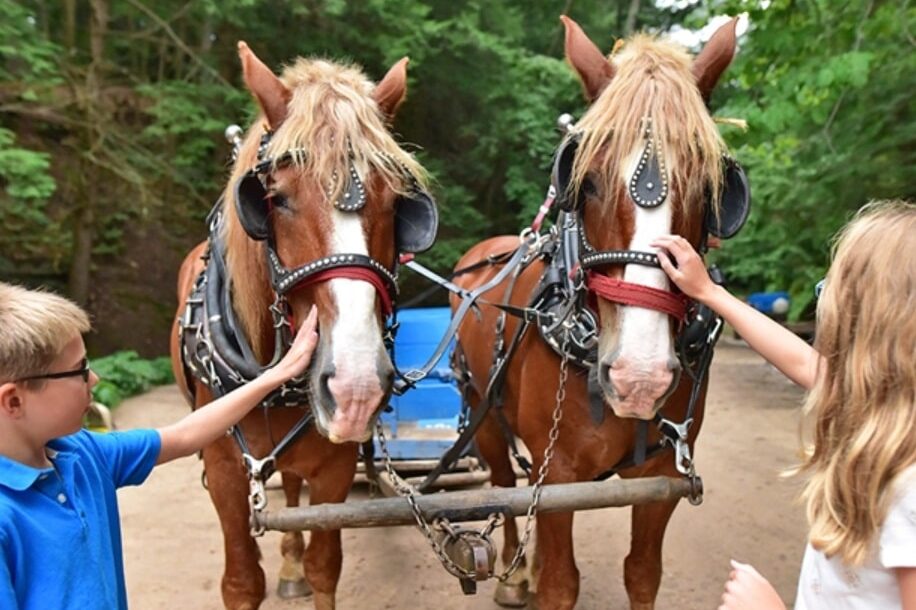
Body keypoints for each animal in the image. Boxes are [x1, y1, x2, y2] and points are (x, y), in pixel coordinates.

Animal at [170, 42, 437, 610]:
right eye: (276, 199)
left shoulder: (334, 470)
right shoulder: (225, 475)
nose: (356, 389)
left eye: (396, 203)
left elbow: (324, 565)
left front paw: (303, 566)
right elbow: (242, 581)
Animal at [451, 16, 745, 610]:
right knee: (504, 486)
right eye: (584, 181)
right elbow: (561, 583)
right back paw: (515, 577)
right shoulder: (560, 476)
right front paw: (537, 577)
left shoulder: (662, 479)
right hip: (482, 412)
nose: (639, 378)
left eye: (711, 187)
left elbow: (642, 573)